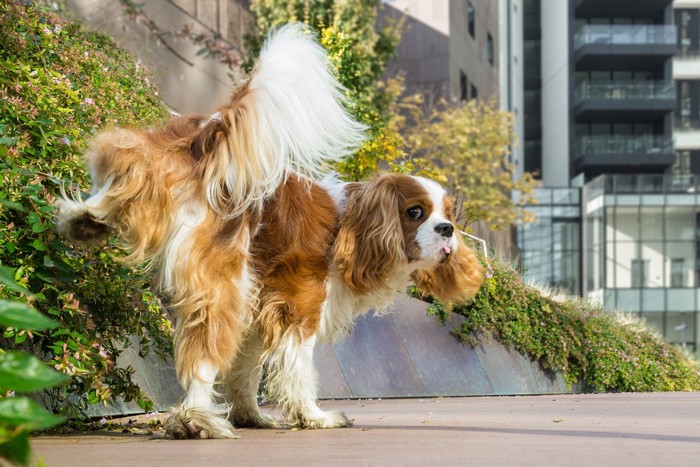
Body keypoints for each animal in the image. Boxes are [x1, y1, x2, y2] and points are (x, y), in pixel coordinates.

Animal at [57, 24, 484, 438]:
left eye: (448, 214)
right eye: (415, 212)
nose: (447, 229)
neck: (350, 227)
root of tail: (211, 136)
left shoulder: (259, 312)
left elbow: (246, 371)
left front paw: (250, 415)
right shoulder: (300, 306)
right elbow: (298, 370)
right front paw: (314, 417)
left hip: (159, 174)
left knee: (125, 165)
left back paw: (83, 220)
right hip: (225, 283)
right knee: (204, 355)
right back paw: (196, 419)